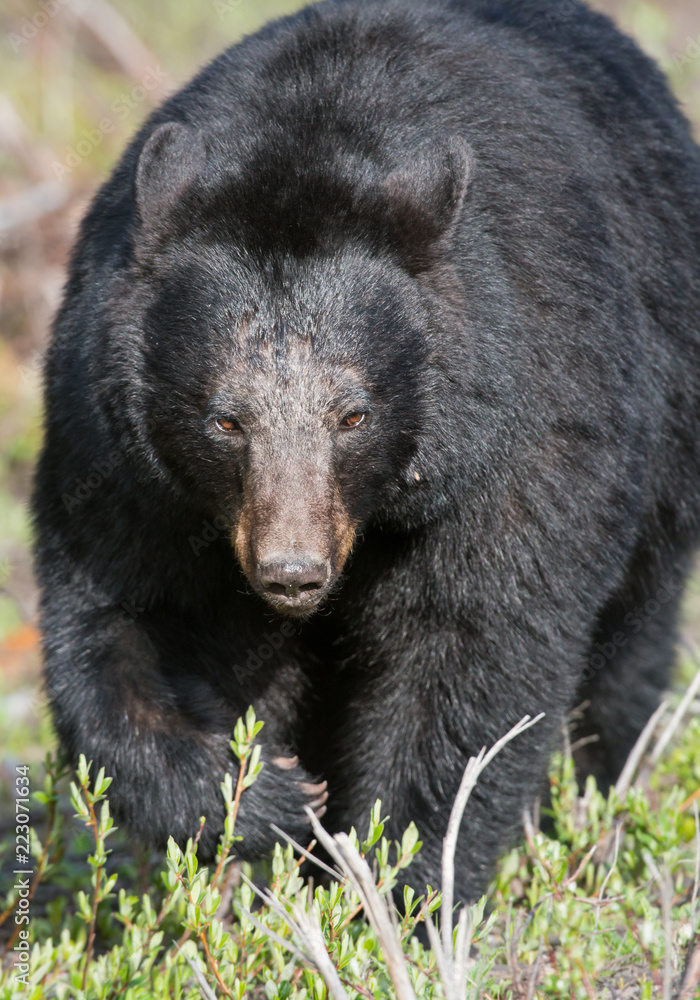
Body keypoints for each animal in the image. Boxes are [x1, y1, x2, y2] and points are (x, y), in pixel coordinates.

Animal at [31, 0, 700, 908]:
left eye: (353, 415)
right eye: (225, 421)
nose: (292, 572)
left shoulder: (522, 432)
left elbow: (471, 658)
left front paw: (398, 884)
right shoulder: (119, 450)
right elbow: (115, 625)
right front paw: (264, 801)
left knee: (626, 660)